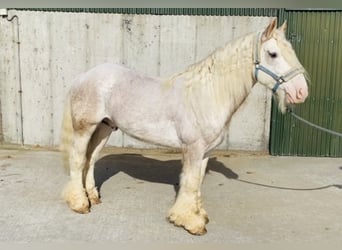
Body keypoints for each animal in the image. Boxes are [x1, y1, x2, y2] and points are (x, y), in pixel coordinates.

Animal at [60, 18, 308, 235]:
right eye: (273, 54)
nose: (301, 92)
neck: (206, 95)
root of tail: (84, 76)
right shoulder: (193, 148)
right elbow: (188, 183)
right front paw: (189, 222)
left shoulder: (205, 152)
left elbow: (196, 183)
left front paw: (199, 215)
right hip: (85, 128)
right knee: (78, 160)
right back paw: (79, 203)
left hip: (104, 128)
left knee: (91, 159)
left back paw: (93, 197)